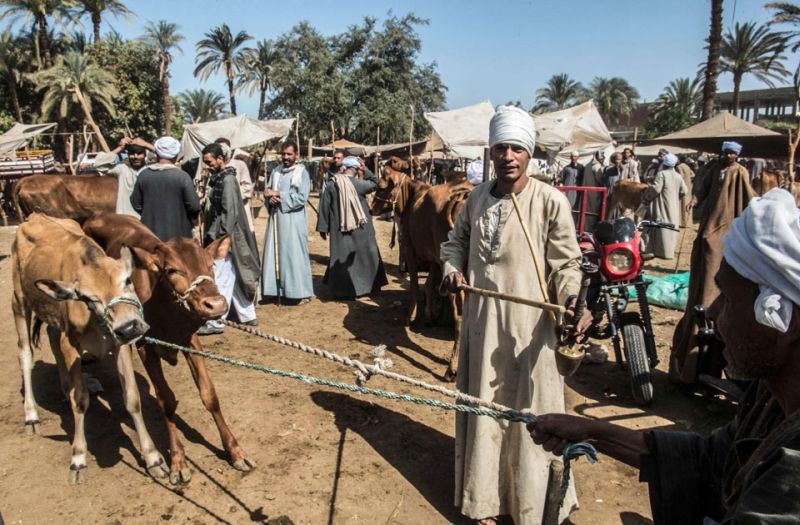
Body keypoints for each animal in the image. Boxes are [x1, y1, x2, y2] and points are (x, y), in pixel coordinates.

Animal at [12, 212, 166, 484]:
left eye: (127, 280)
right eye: (86, 298)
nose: (130, 327)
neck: (97, 325)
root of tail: (33, 216)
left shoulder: (120, 345)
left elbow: (132, 398)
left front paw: (152, 457)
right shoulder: (71, 344)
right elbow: (81, 401)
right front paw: (78, 458)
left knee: (52, 340)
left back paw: (68, 388)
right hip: (19, 301)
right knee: (26, 354)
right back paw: (31, 414)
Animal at [83, 213, 255, 484]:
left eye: (210, 265)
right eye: (171, 270)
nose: (216, 304)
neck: (164, 307)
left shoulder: (190, 339)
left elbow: (209, 394)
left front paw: (234, 450)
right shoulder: (145, 346)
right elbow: (166, 400)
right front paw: (177, 460)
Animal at [372, 166, 472, 378]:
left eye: (381, 186)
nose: (371, 208)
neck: (412, 196)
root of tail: (462, 195)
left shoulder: (410, 250)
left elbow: (414, 286)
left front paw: (410, 317)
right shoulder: (434, 258)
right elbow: (428, 284)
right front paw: (428, 317)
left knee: (460, 317)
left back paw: (452, 368)